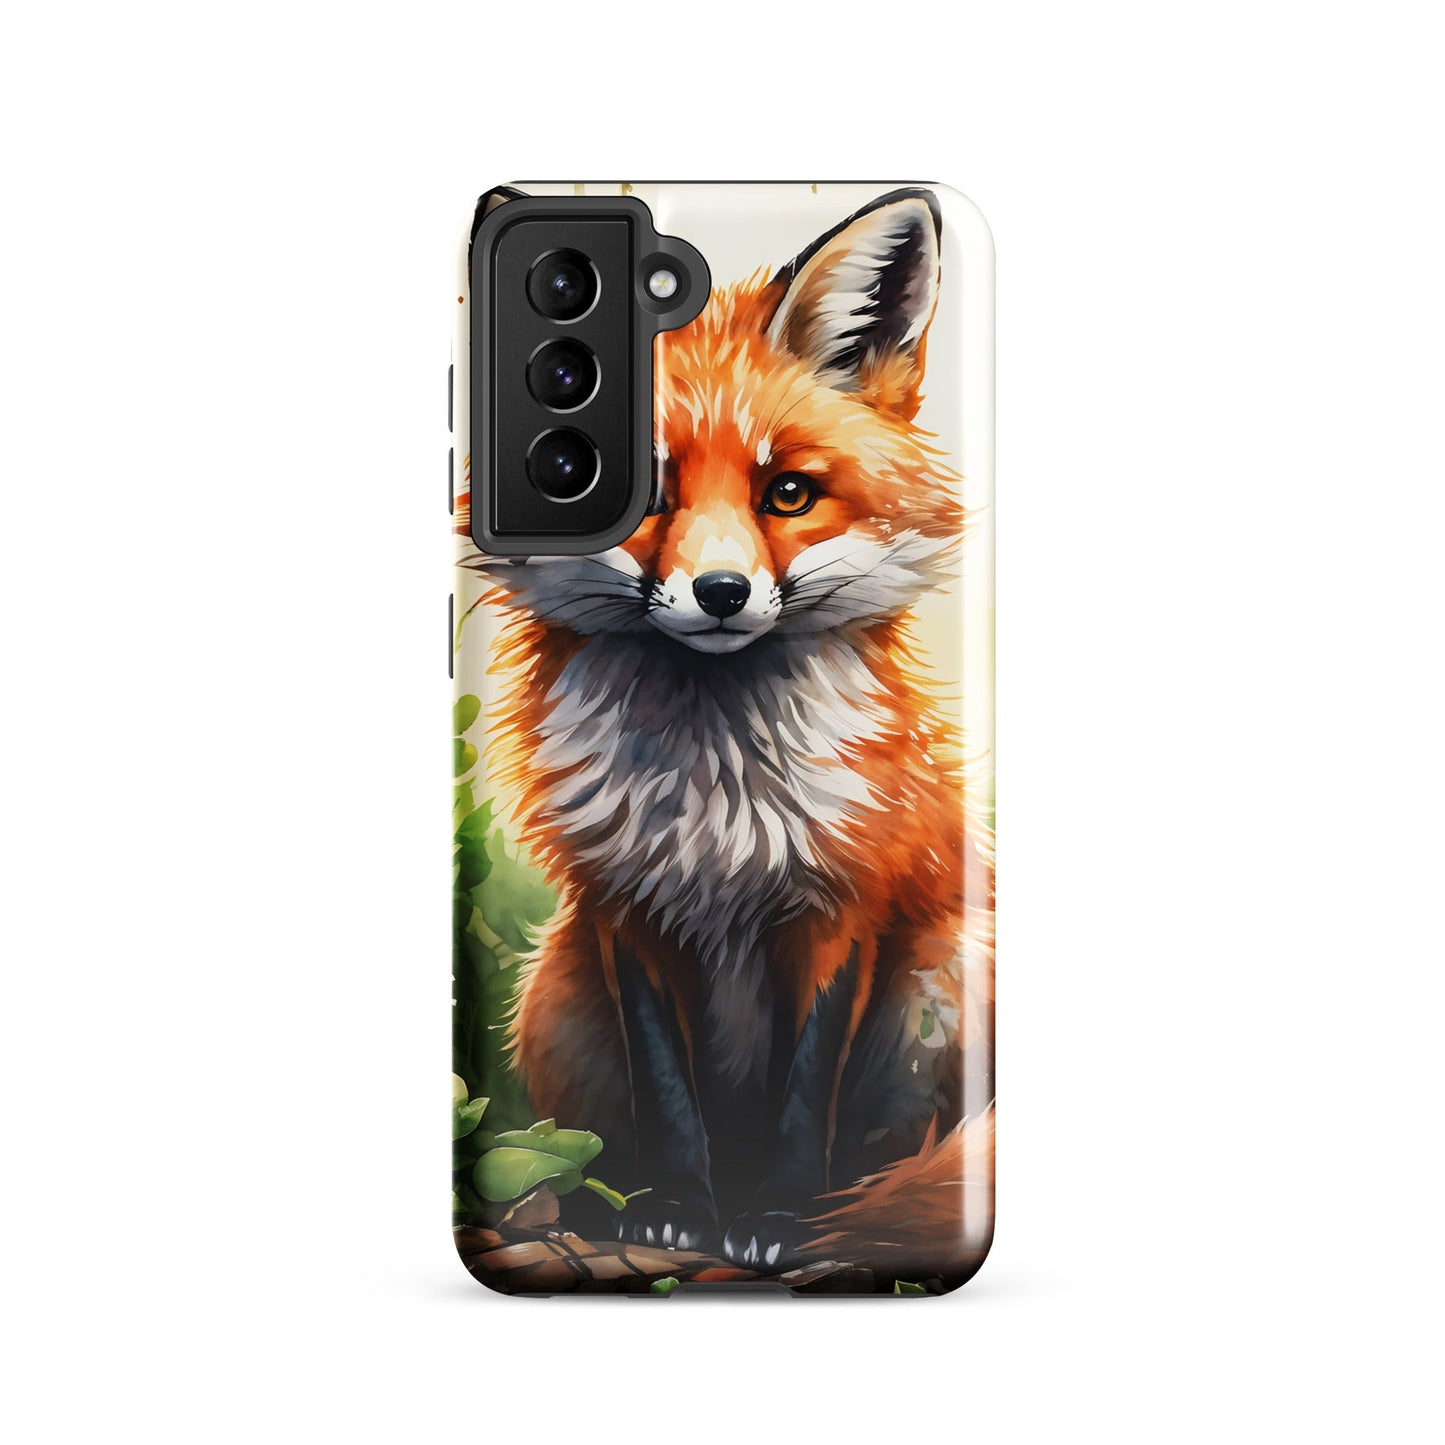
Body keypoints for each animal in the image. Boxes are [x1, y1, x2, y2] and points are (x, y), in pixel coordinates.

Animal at [458, 188, 994, 1282]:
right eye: (646, 495)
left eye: (786, 492)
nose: (719, 592)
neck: (719, 803)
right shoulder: (623, 907)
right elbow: (669, 1092)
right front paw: (673, 1210)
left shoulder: (842, 902)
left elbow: (803, 1090)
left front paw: (780, 1216)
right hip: (551, 989)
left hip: (946, 971)